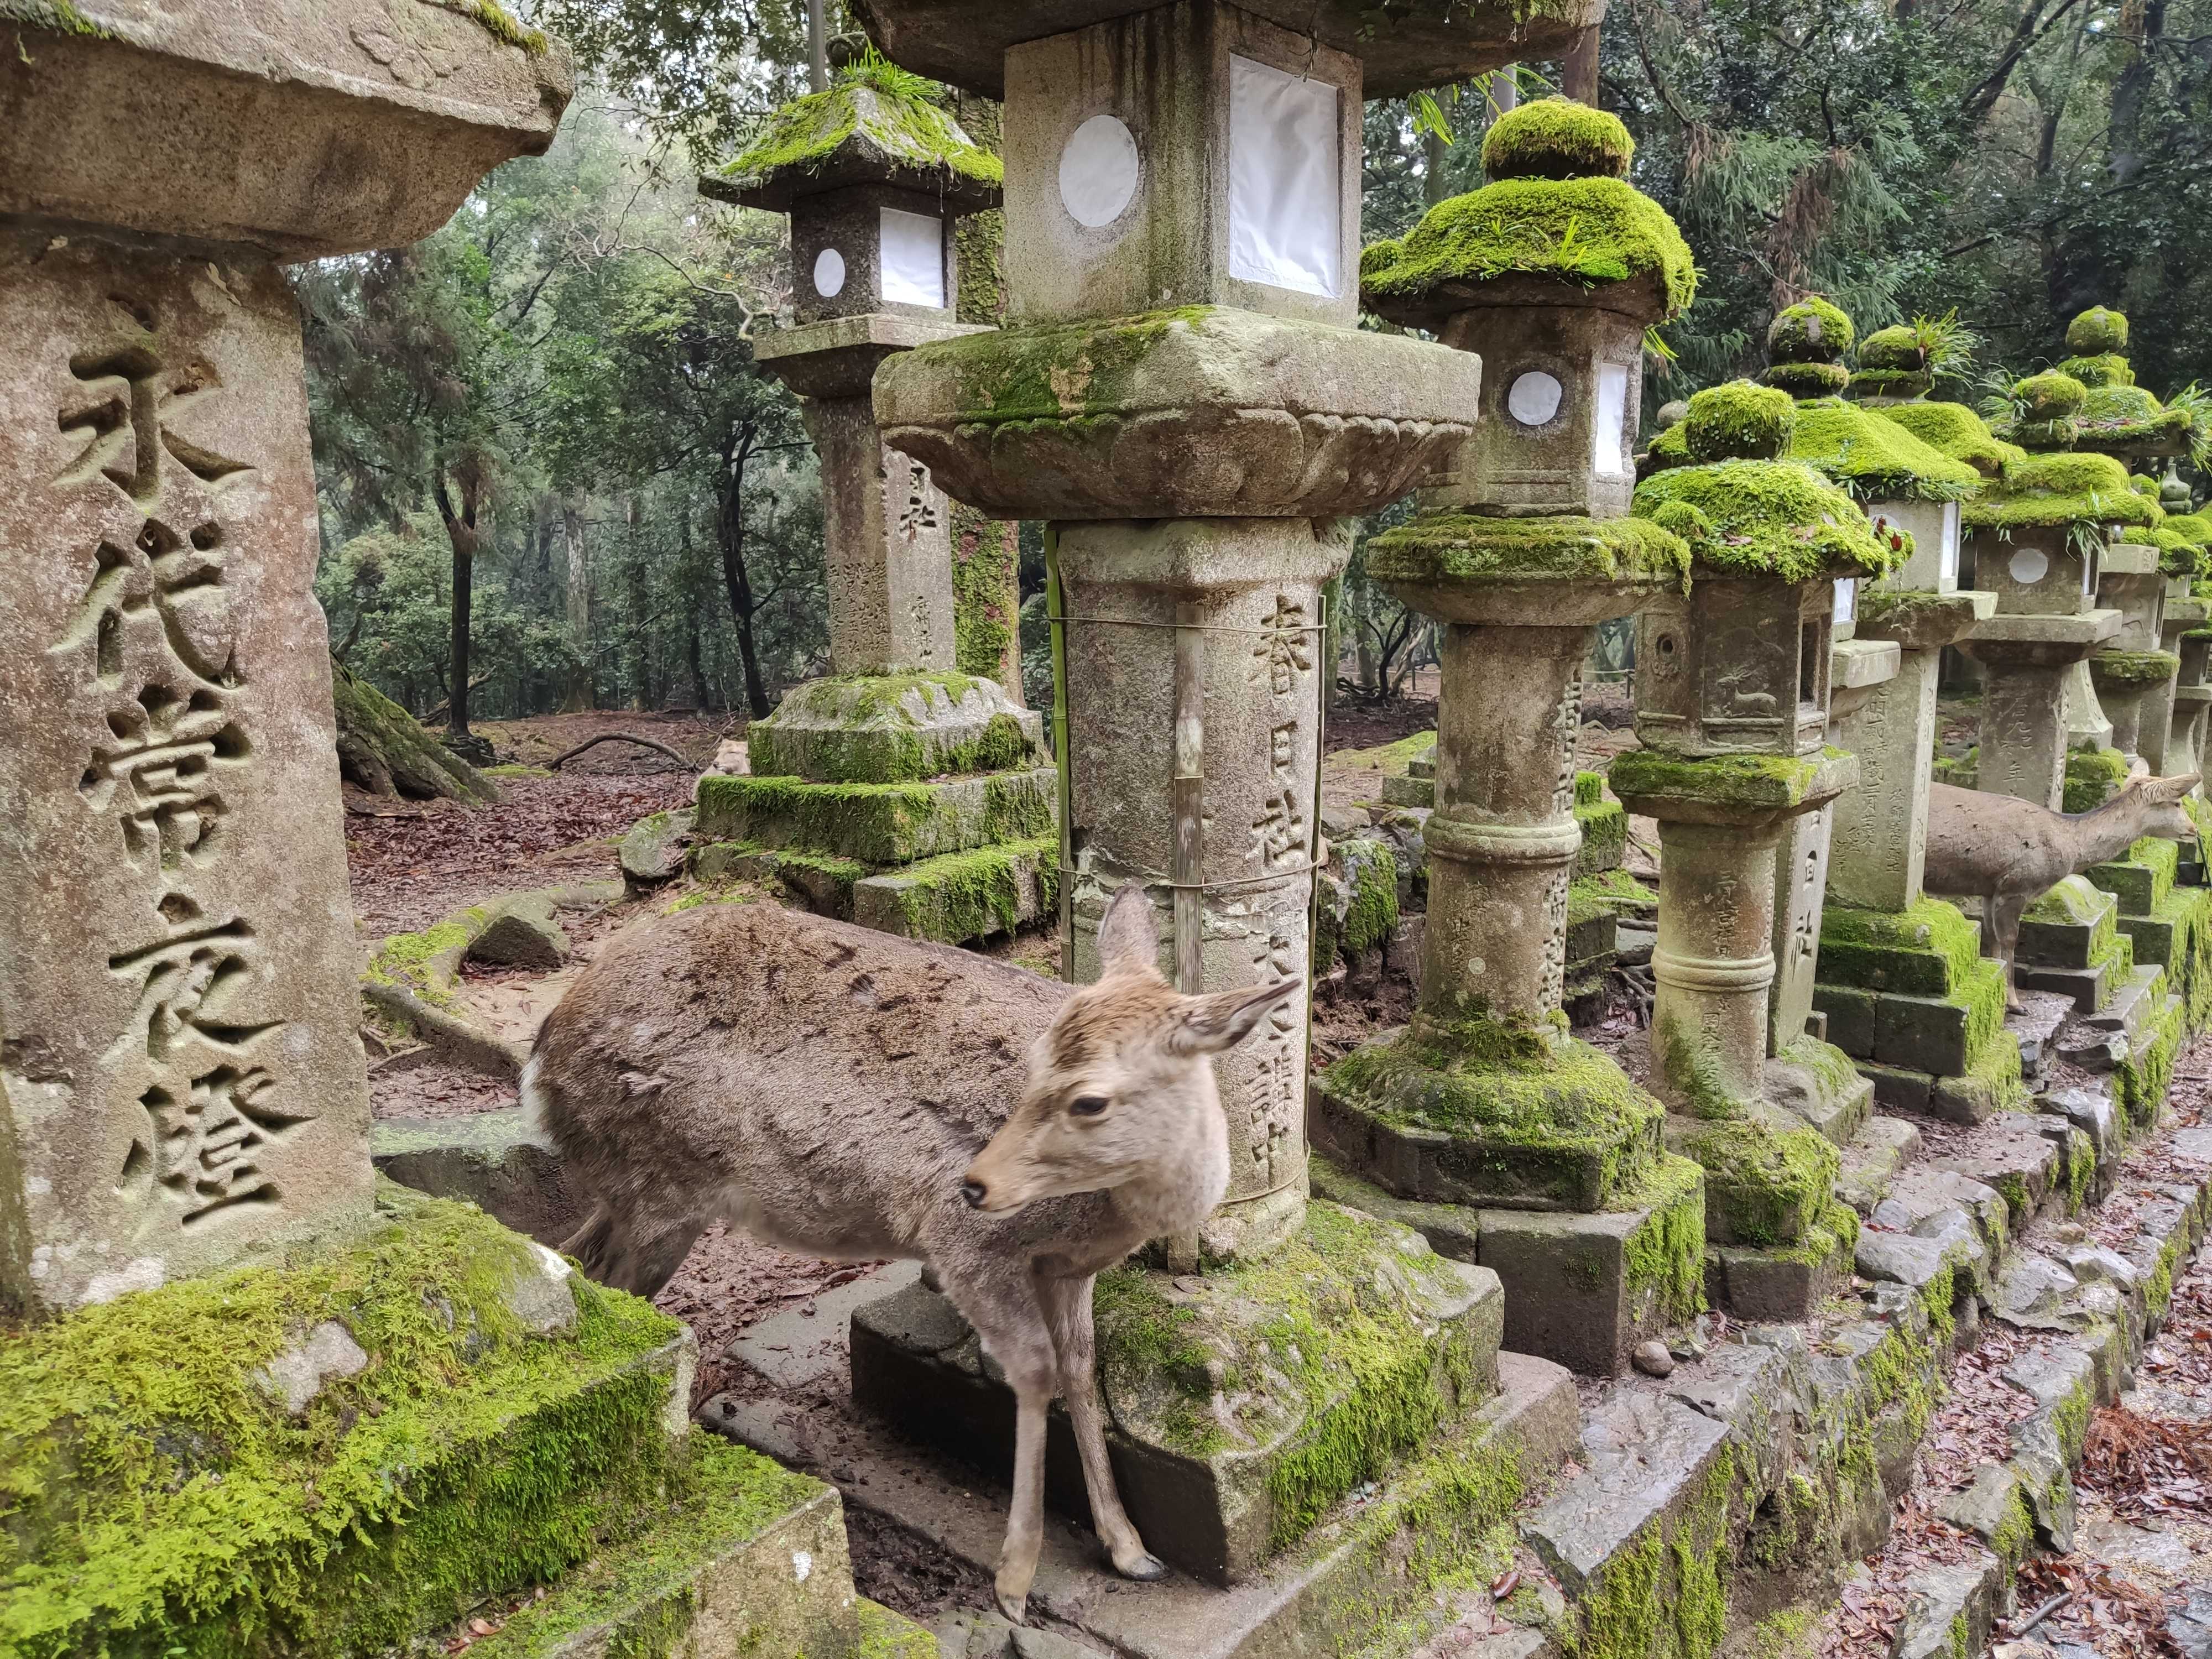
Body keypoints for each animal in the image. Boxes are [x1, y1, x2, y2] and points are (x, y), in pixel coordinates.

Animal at [524, 889, 1301, 1628]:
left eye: (1089, 1100)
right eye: (1034, 1063)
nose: (977, 1184)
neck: (1112, 1215)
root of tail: (542, 1051)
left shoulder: (1067, 1268)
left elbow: (1082, 1372)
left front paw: (1131, 1550)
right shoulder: (967, 1246)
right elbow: (1036, 1372)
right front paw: (1014, 1582)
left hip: (626, 1192)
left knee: (571, 1257)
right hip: (662, 1187)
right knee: (617, 1289)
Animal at [1920, 770, 2194, 1013]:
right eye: (2178, 802)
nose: (2193, 829)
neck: (2069, 843)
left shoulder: (1990, 889)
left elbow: (1993, 937)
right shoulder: (2017, 885)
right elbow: (2009, 940)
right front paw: (2015, 1004)